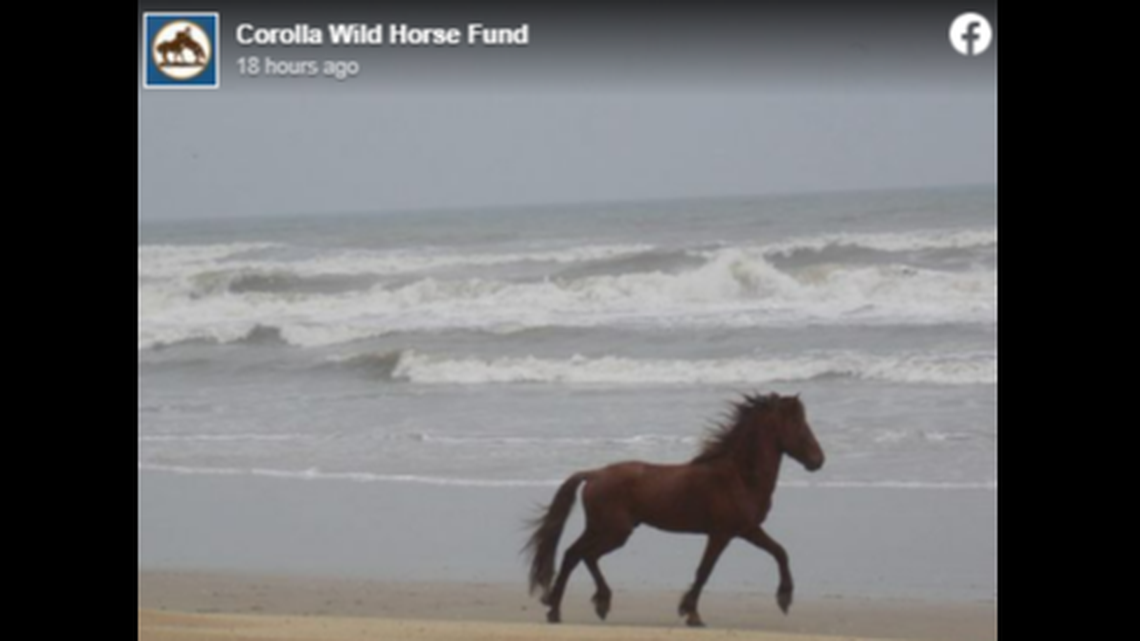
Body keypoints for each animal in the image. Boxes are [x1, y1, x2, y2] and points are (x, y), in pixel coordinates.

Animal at [523, 392, 824, 627]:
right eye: (798, 424)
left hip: (604, 529)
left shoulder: (746, 530)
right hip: (613, 531)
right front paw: (692, 614)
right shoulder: (724, 533)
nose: (818, 460)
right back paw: (574, 606)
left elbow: (779, 552)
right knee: (581, 554)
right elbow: (705, 570)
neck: (739, 476)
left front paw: (783, 599)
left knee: (576, 554)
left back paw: (568, 607)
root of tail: (594, 474)